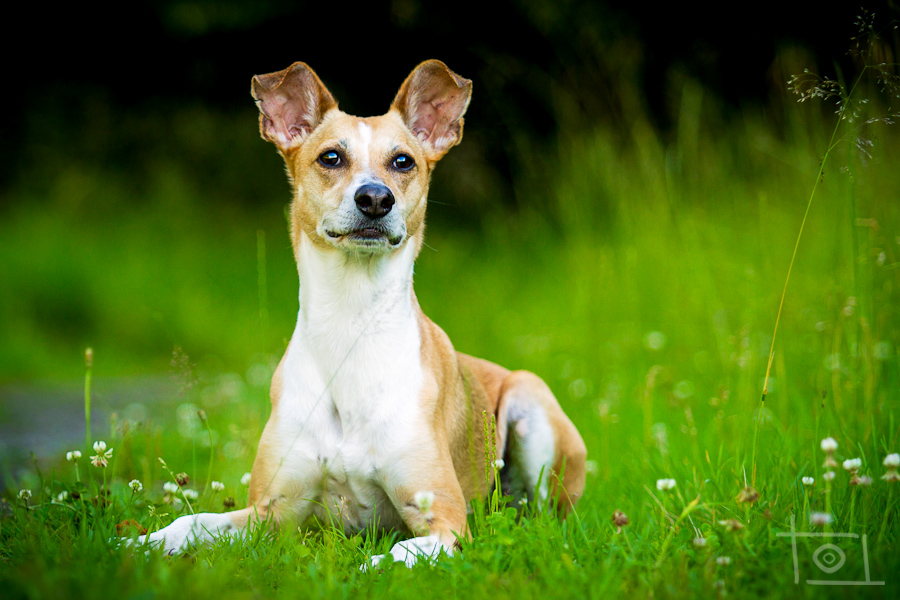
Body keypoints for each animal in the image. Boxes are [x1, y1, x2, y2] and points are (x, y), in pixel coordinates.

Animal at [132, 59, 584, 568]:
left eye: (403, 161)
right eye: (330, 157)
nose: (375, 198)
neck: (351, 324)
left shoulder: (445, 523)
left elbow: (394, 555)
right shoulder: (267, 513)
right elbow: (193, 522)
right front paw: (137, 543)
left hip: (530, 401)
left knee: (541, 517)